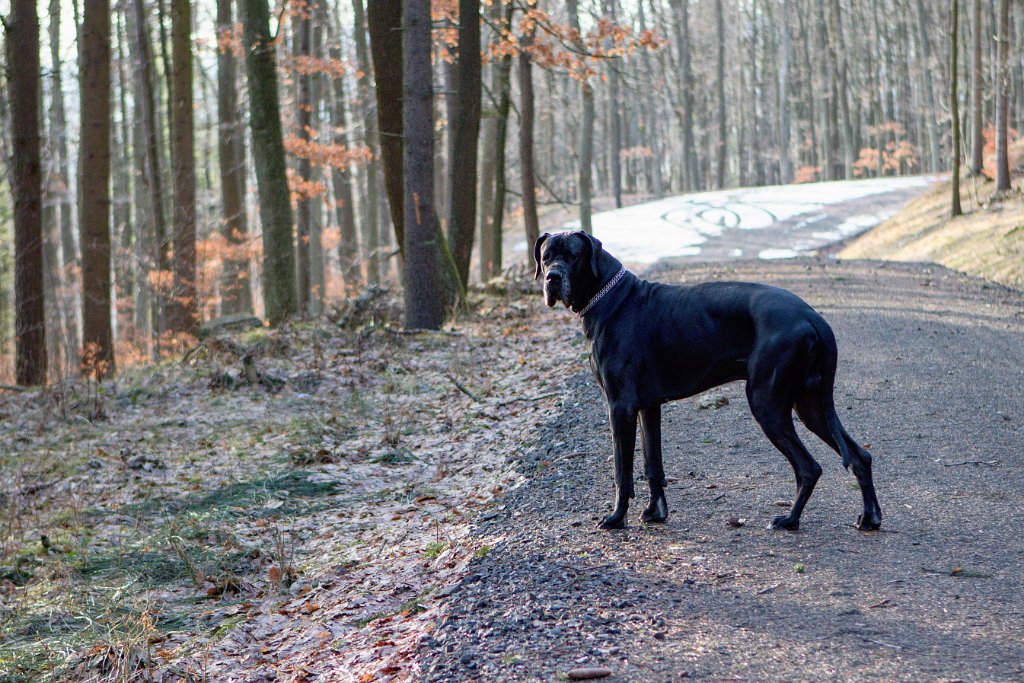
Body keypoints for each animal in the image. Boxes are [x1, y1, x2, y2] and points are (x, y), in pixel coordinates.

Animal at [536, 232, 880, 532]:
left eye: (573, 256)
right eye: (546, 256)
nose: (552, 278)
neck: (610, 298)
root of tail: (813, 316)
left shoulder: (620, 406)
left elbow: (623, 470)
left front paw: (616, 518)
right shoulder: (648, 407)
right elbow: (652, 464)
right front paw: (655, 512)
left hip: (767, 404)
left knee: (808, 467)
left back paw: (790, 520)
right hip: (811, 406)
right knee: (860, 456)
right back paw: (869, 517)